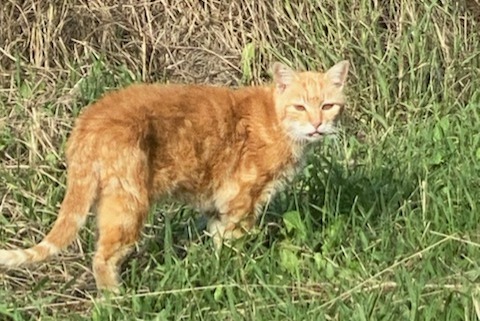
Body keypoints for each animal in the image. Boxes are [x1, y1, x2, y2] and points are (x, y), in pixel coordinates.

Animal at [0, 60, 346, 290]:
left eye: (328, 106)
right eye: (300, 107)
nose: (317, 125)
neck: (277, 122)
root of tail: (89, 119)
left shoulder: (218, 207)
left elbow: (219, 241)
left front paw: (219, 273)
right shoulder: (242, 199)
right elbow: (235, 243)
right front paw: (238, 273)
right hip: (129, 204)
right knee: (103, 257)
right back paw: (116, 301)